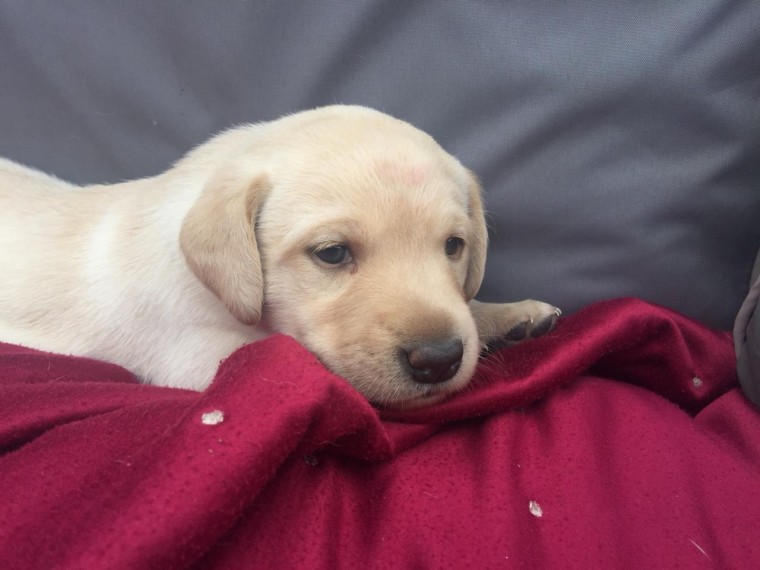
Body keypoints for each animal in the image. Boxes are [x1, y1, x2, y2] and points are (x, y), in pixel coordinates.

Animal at [0, 105, 559, 408]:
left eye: (453, 246)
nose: (439, 359)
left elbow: (467, 312)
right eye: (332, 253)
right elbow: (304, 360)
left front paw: (513, 315)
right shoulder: (197, 358)